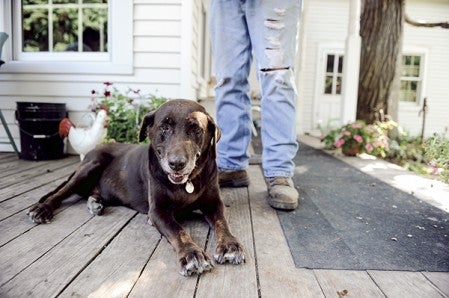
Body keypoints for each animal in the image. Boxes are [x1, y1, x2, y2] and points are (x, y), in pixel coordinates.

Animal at [27, 100, 245, 278]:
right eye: (164, 127)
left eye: (196, 129)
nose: (177, 164)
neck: (186, 183)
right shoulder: (157, 211)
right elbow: (179, 230)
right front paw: (191, 254)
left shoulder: (213, 203)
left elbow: (222, 222)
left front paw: (230, 244)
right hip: (91, 165)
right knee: (60, 192)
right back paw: (42, 209)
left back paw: (95, 202)